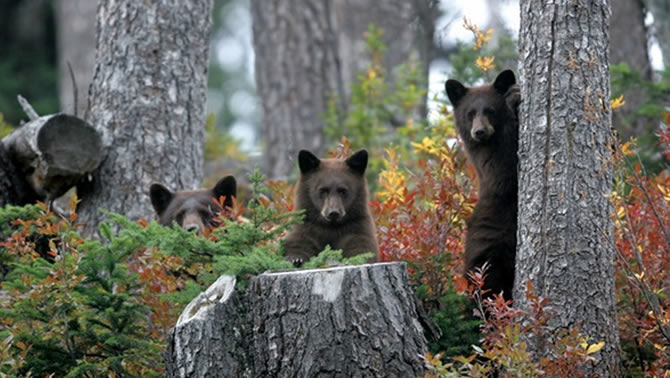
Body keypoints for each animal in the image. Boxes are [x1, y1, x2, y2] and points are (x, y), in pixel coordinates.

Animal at [448, 70, 524, 302]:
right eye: (470, 113)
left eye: (489, 110)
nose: (479, 131)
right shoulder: (485, 159)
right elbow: (504, 171)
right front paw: (512, 98)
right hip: (487, 250)